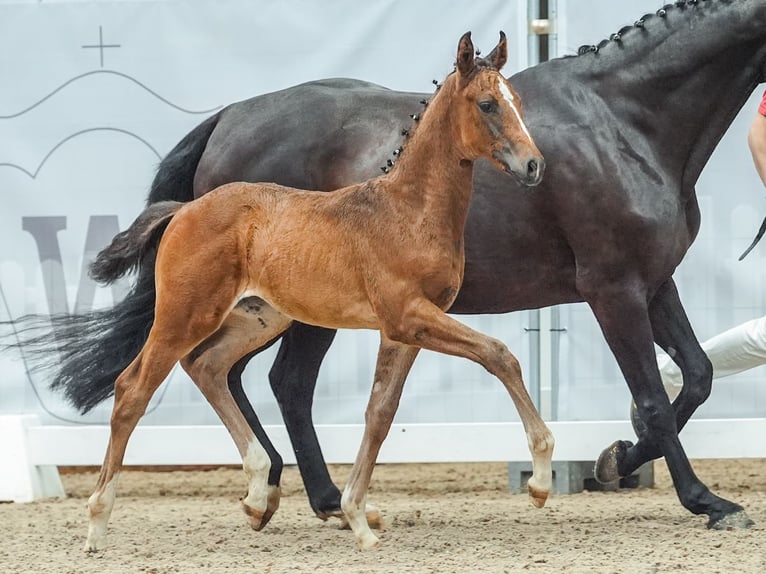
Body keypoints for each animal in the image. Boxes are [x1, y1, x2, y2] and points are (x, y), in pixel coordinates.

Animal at [84, 32, 552, 552]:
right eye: (487, 103)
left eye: (518, 102)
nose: (534, 165)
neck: (407, 211)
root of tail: (184, 209)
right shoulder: (409, 316)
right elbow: (499, 354)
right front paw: (539, 481)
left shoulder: (404, 330)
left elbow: (379, 413)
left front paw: (358, 519)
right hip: (185, 315)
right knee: (133, 389)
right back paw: (97, 525)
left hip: (258, 317)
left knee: (206, 366)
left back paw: (258, 491)